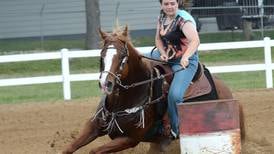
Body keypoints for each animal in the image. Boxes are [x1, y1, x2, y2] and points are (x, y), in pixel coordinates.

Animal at [61, 25, 244, 153]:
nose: (106, 83)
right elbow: (69, 148)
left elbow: (94, 150)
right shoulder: (94, 126)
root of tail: (225, 88)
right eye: (101, 55)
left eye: (122, 57)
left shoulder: (129, 139)